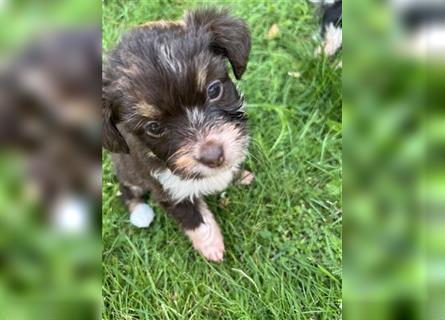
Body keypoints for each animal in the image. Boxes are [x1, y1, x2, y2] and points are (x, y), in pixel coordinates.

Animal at [102, 8, 251, 262]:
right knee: (127, 189)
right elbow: (196, 221)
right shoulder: (169, 190)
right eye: (154, 127)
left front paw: (239, 174)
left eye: (214, 90)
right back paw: (140, 213)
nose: (213, 156)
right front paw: (213, 248)